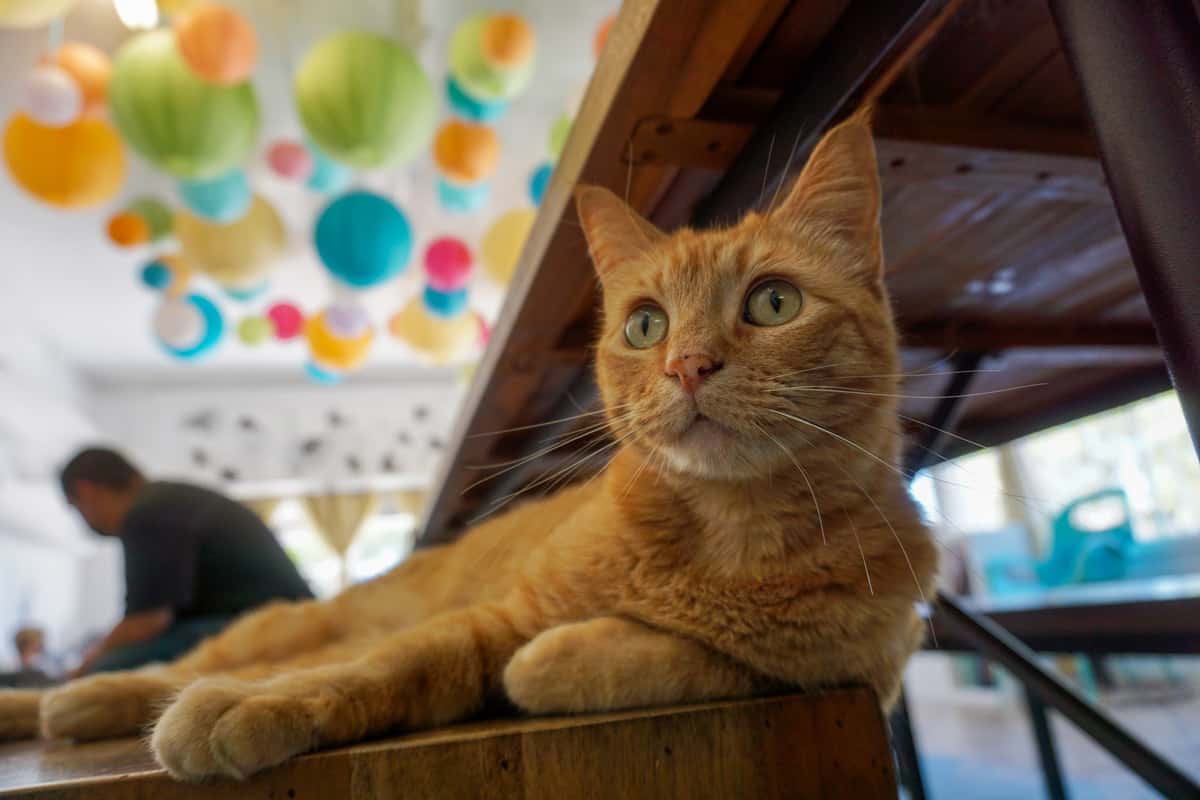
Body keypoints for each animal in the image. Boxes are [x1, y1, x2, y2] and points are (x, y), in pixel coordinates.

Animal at [0, 112, 936, 782]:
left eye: (774, 304)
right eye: (646, 324)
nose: (688, 365)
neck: (723, 535)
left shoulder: (853, 672)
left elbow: (687, 658)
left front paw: (570, 655)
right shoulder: (494, 617)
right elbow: (396, 663)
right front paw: (264, 707)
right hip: (283, 629)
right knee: (209, 663)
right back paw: (71, 700)